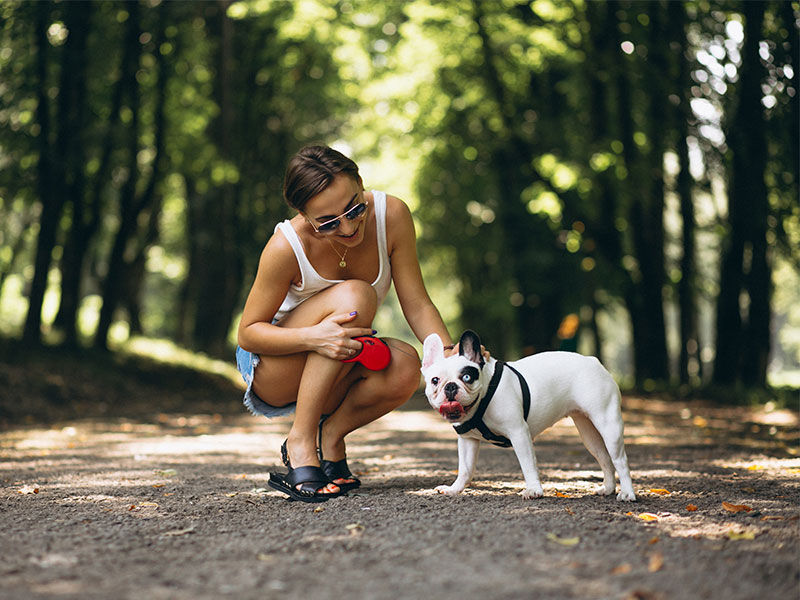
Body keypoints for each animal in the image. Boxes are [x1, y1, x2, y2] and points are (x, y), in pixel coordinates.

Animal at [418, 330, 636, 500]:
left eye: (466, 377)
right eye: (435, 380)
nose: (450, 387)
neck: (485, 395)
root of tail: (593, 361)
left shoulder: (519, 432)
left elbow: (527, 464)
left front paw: (533, 490)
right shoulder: (467, 440)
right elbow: (465, 468)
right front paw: (454, 489)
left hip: (608, 424)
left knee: (620, 460)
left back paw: (627, 493)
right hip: (588, 430)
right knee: (604, 458)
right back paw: (608, 489)